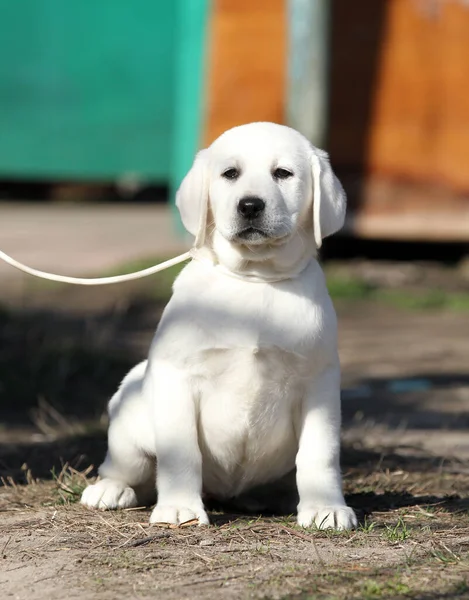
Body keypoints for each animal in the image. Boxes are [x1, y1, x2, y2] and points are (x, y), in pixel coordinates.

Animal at [82, 122, 356, 528]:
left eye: (283, 173)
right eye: (230, 174)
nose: (250, 205)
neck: (255, 279)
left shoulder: (317, 382)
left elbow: (319, 454)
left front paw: (325, 508)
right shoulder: (178, 377)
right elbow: (181, 454)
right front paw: (179, 508)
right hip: (129, 419)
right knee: (127, 468)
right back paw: (110, 490)